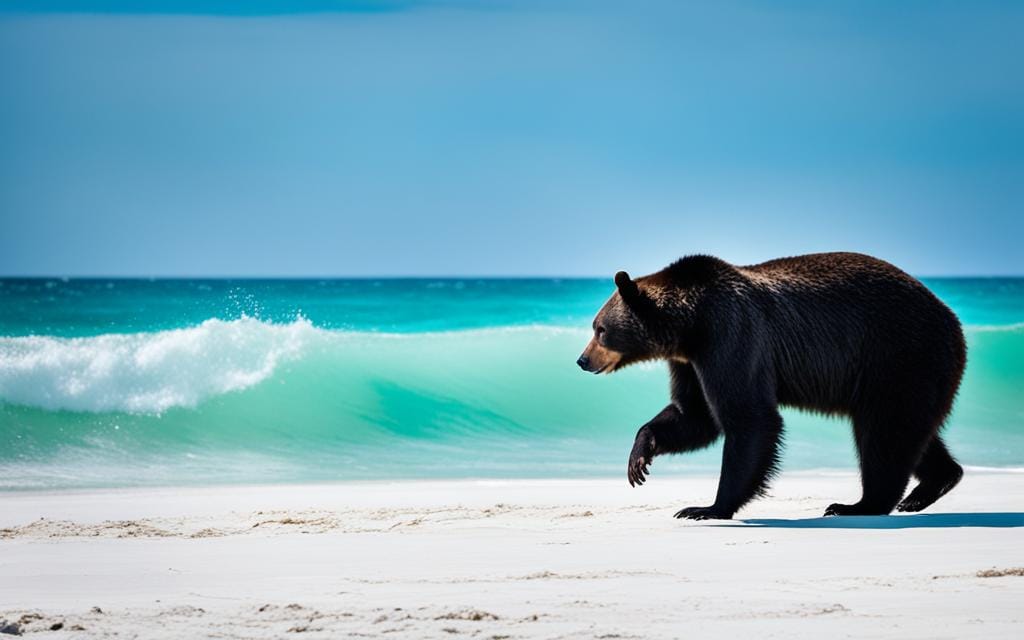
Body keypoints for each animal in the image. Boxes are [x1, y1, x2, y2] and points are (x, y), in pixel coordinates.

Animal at [576, 252, 966, 519]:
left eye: (600, 329)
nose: (582, 360)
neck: (691, 323)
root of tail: (954, 321)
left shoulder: (732, 335)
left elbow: (749, 417)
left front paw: (707, 507)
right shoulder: (690, 361)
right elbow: (695, 414)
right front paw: (639, 459)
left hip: (899, 356)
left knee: (885, 432)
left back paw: (858, 504)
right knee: (909, 433)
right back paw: (929, 487)